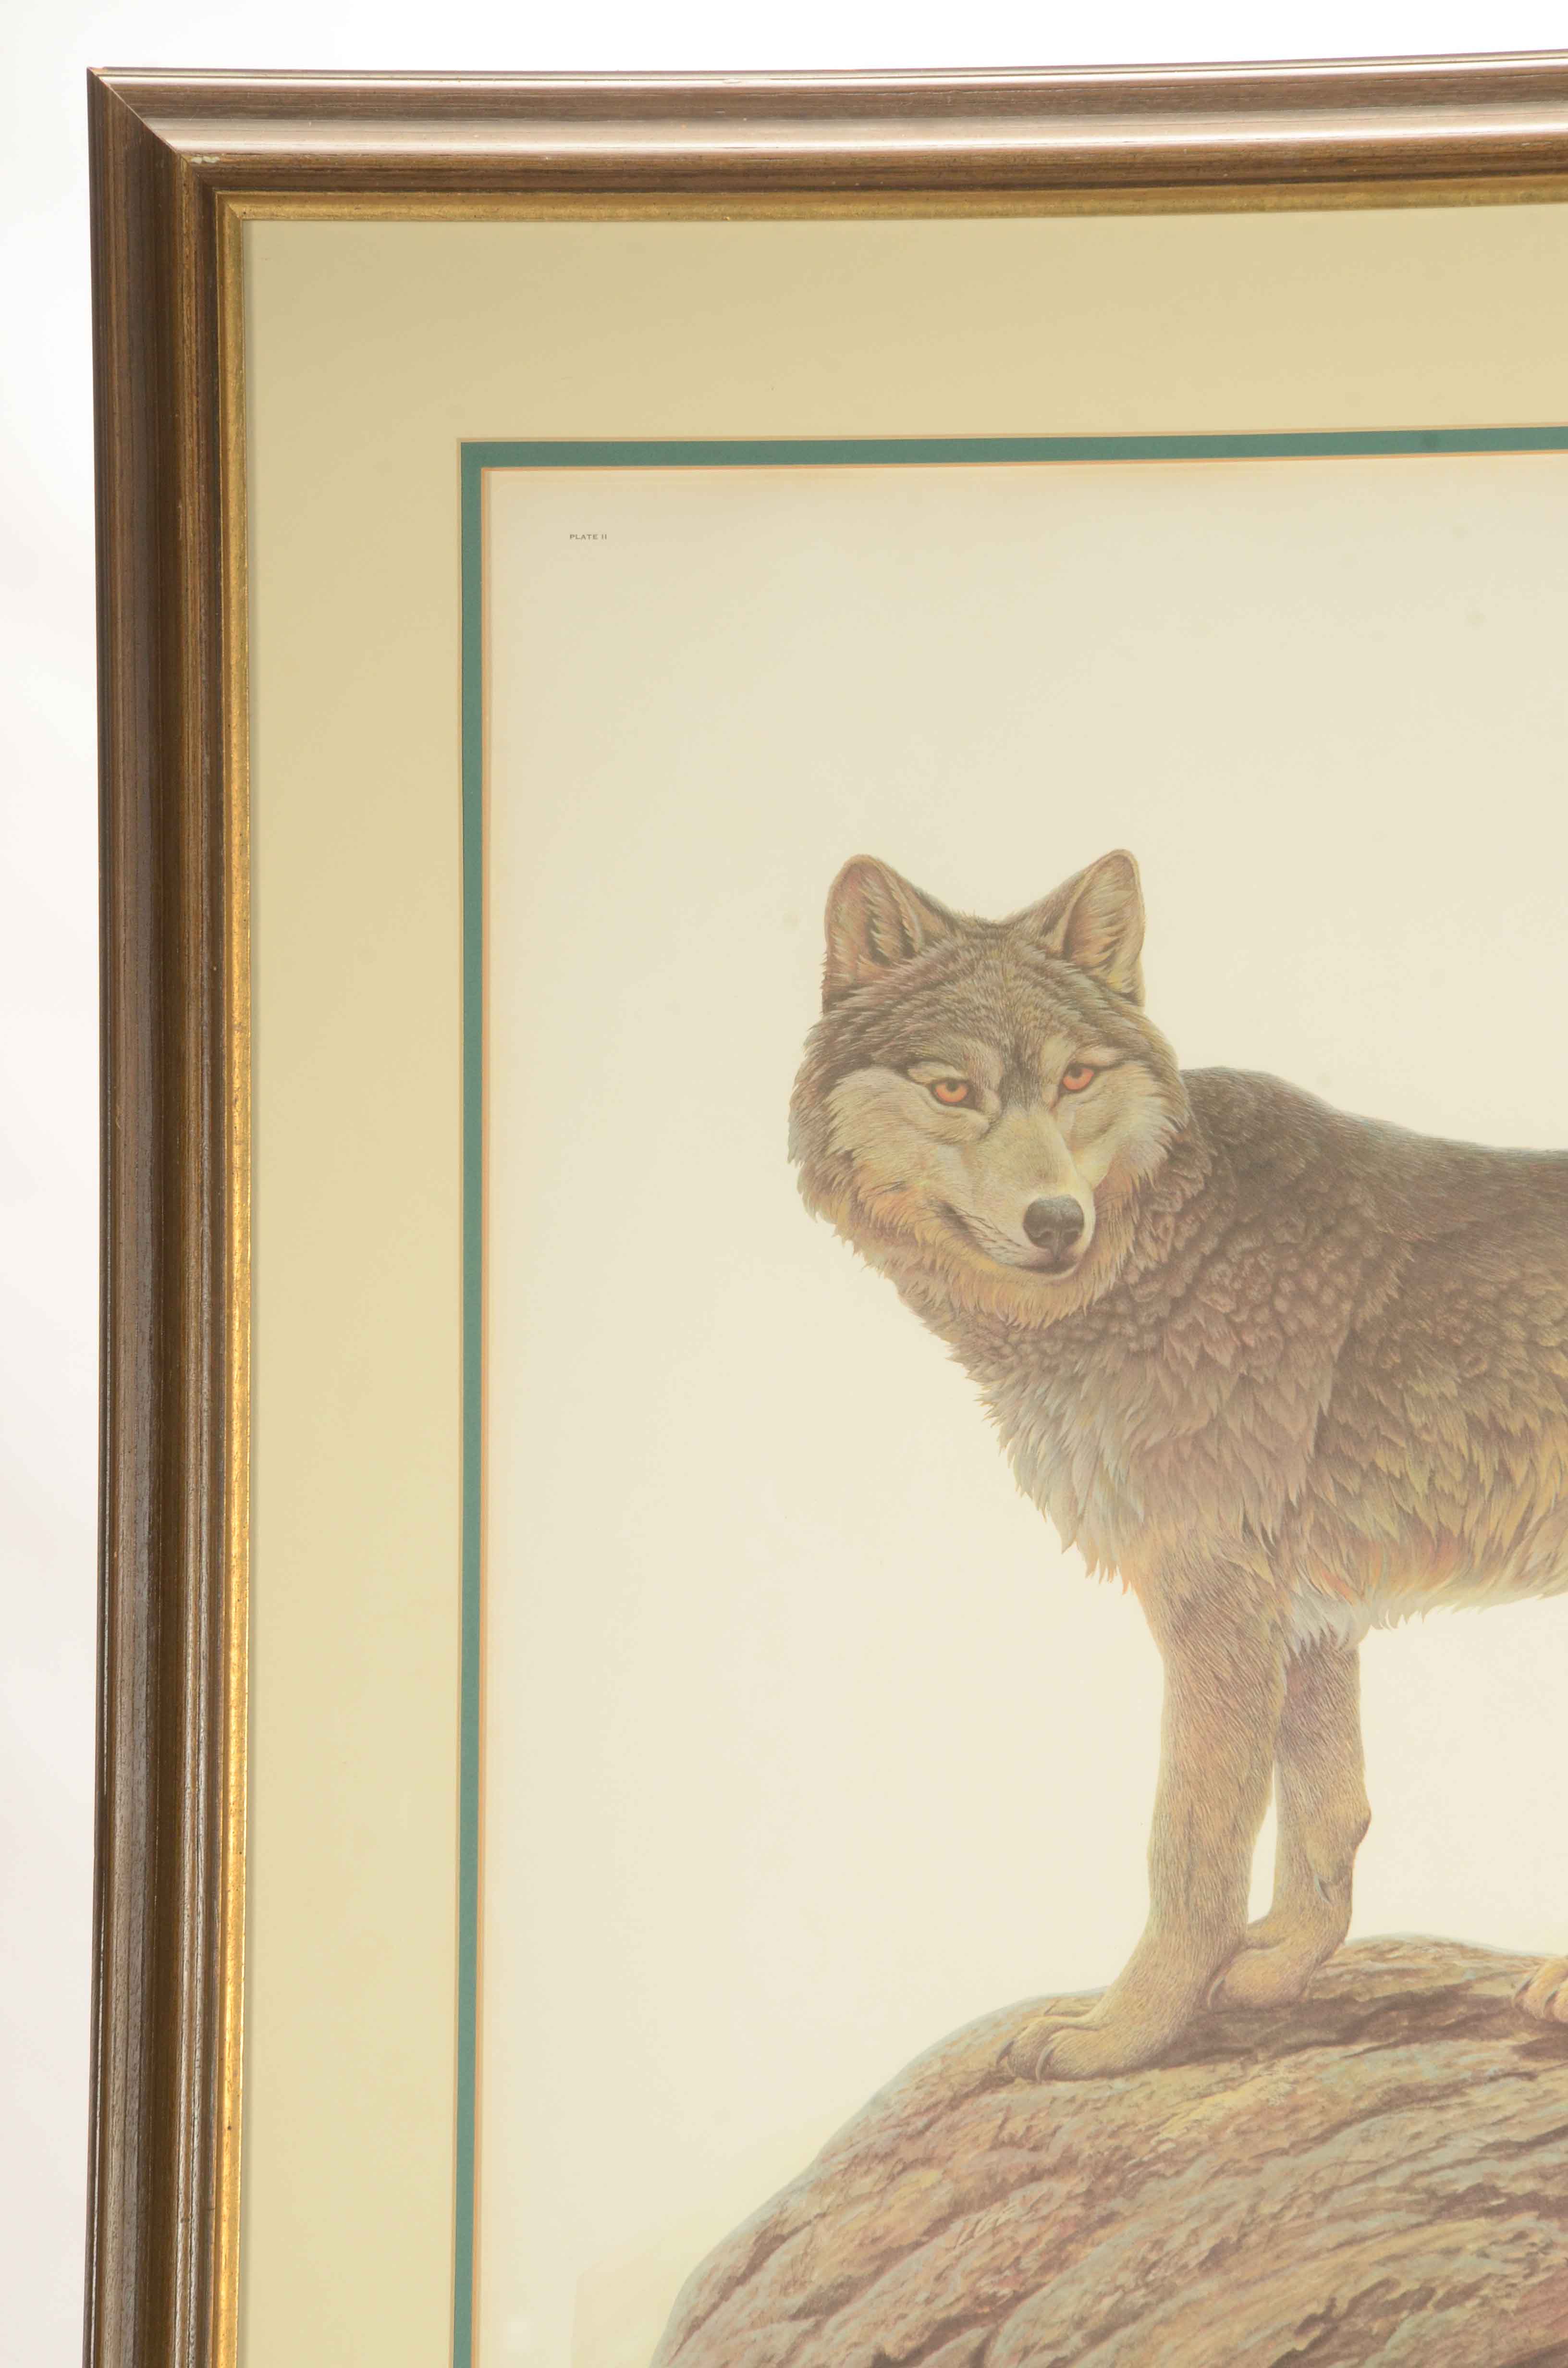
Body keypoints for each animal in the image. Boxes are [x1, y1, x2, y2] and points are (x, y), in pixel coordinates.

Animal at [789, 849, 1568, 2079]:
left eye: (1075, 1078)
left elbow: (1191, 1853)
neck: (1159, 1250)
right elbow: (1325, 1825)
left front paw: (1119, 2036)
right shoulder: (1308, 1618)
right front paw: (1272, 1973)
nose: (1056, 1223)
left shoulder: (1214, 1600)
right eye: (953, 1090)